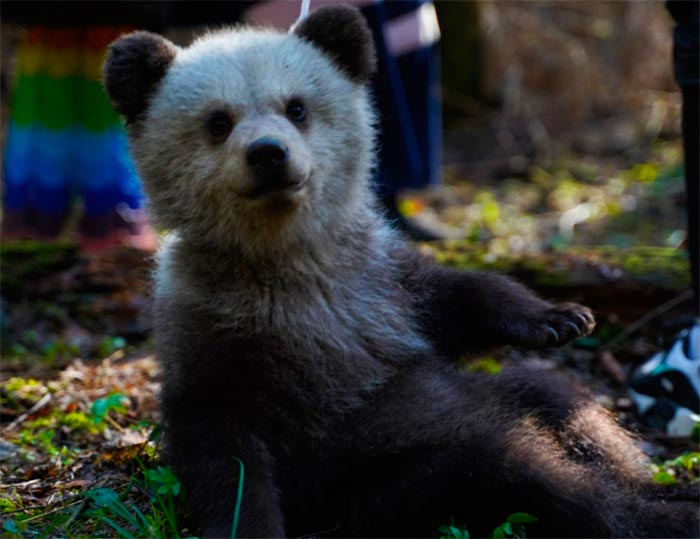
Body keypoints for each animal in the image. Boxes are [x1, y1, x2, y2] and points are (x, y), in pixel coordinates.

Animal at [103, 5, 699, 538]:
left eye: (297, 108)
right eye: (218, 123)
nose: (269, 154)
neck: (286, 252)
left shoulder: (376, 278)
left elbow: (457, 298)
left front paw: (557, 317)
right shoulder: (212, 324)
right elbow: (225, 449)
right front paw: (249, 529)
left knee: (560, 403)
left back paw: (658, 488)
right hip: (388, 484)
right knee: (522, 472)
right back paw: (654, 517)